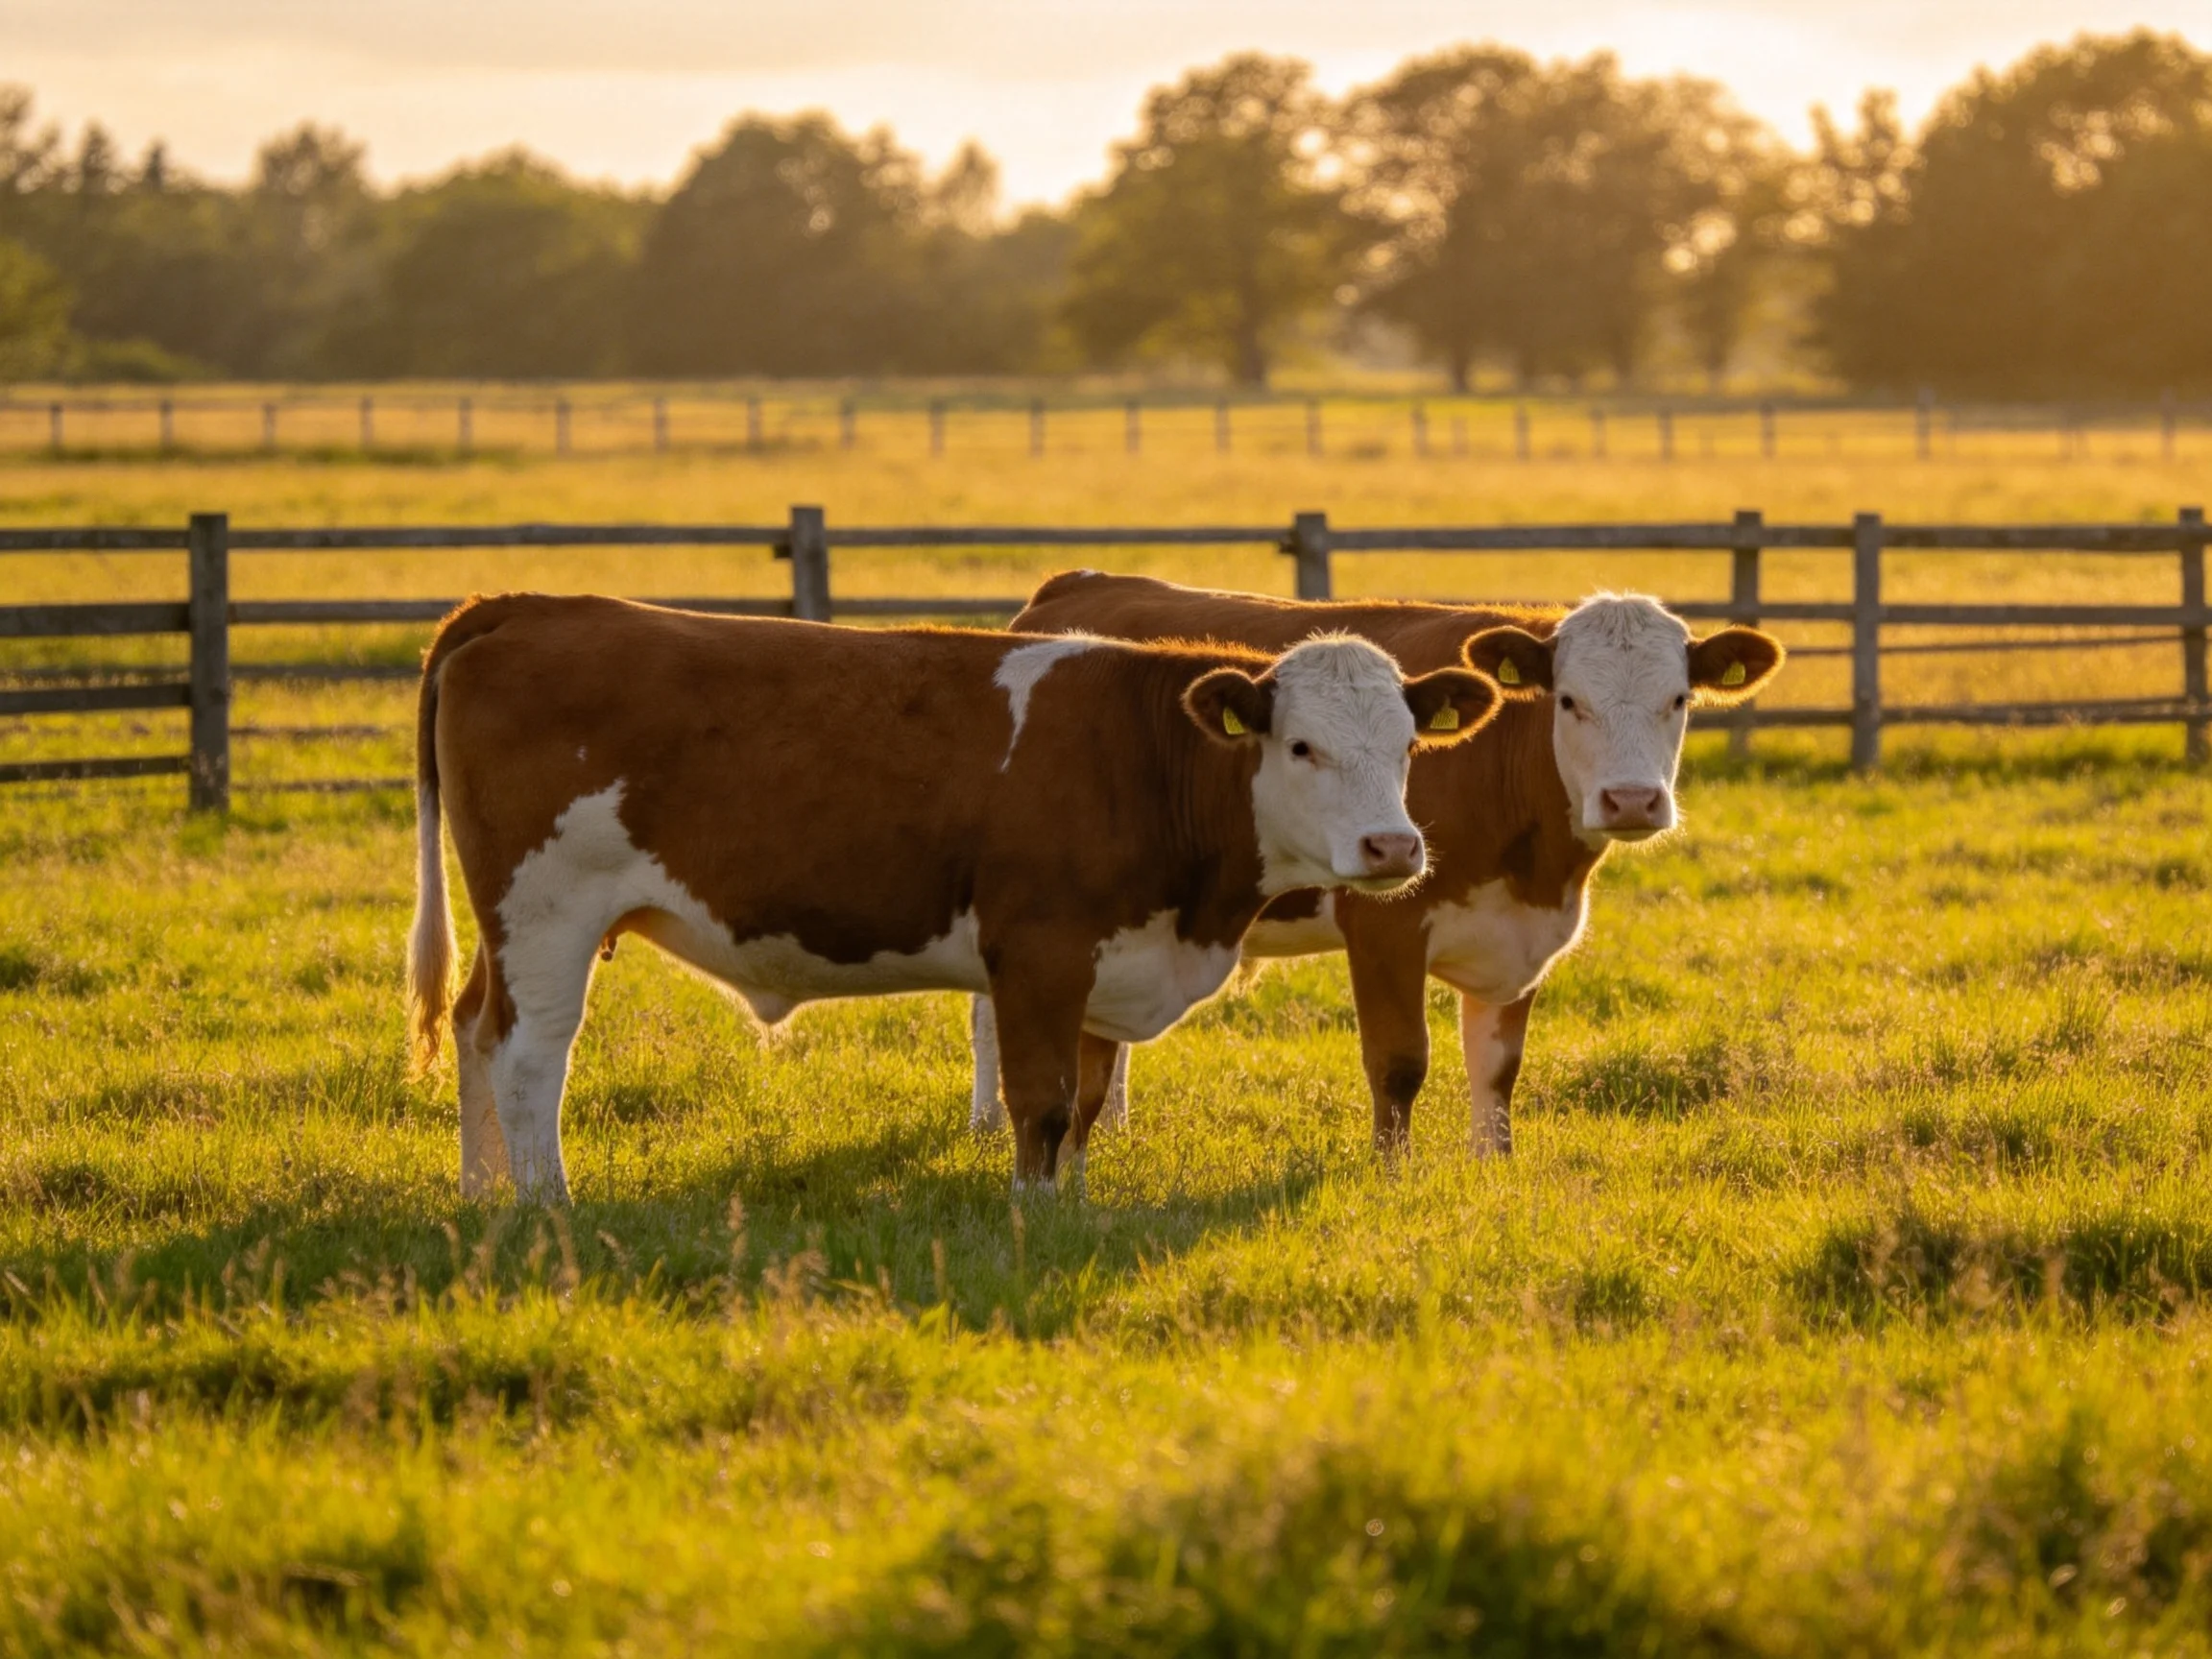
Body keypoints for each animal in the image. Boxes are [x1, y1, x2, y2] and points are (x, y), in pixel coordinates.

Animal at [404, 593, 1505, 1201]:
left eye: (1409, 746)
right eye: (1302, 746)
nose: (1393, 846)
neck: (1139, 758)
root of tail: (529, 603)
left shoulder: (1108, 959)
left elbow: (1090, 1099)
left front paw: (1075, 1201)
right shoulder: (1040, 953)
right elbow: (1044, 1102)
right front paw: (1035, 1209)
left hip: (510, 927)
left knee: (472, 1027)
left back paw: (481, 1192)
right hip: (548, 915)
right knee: (528, 1055)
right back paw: (546, 1202)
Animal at [970, 574, 1784, 1157]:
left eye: (1678, 700)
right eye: (1570, 701)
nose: (1631, 800)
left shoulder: (1520, 937)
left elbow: (1498, 1066)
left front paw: (1494, 1168)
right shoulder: (1386, 924)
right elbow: (1399, 1062)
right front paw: (1392, 1174)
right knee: (989, 1012)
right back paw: (986, 1124)